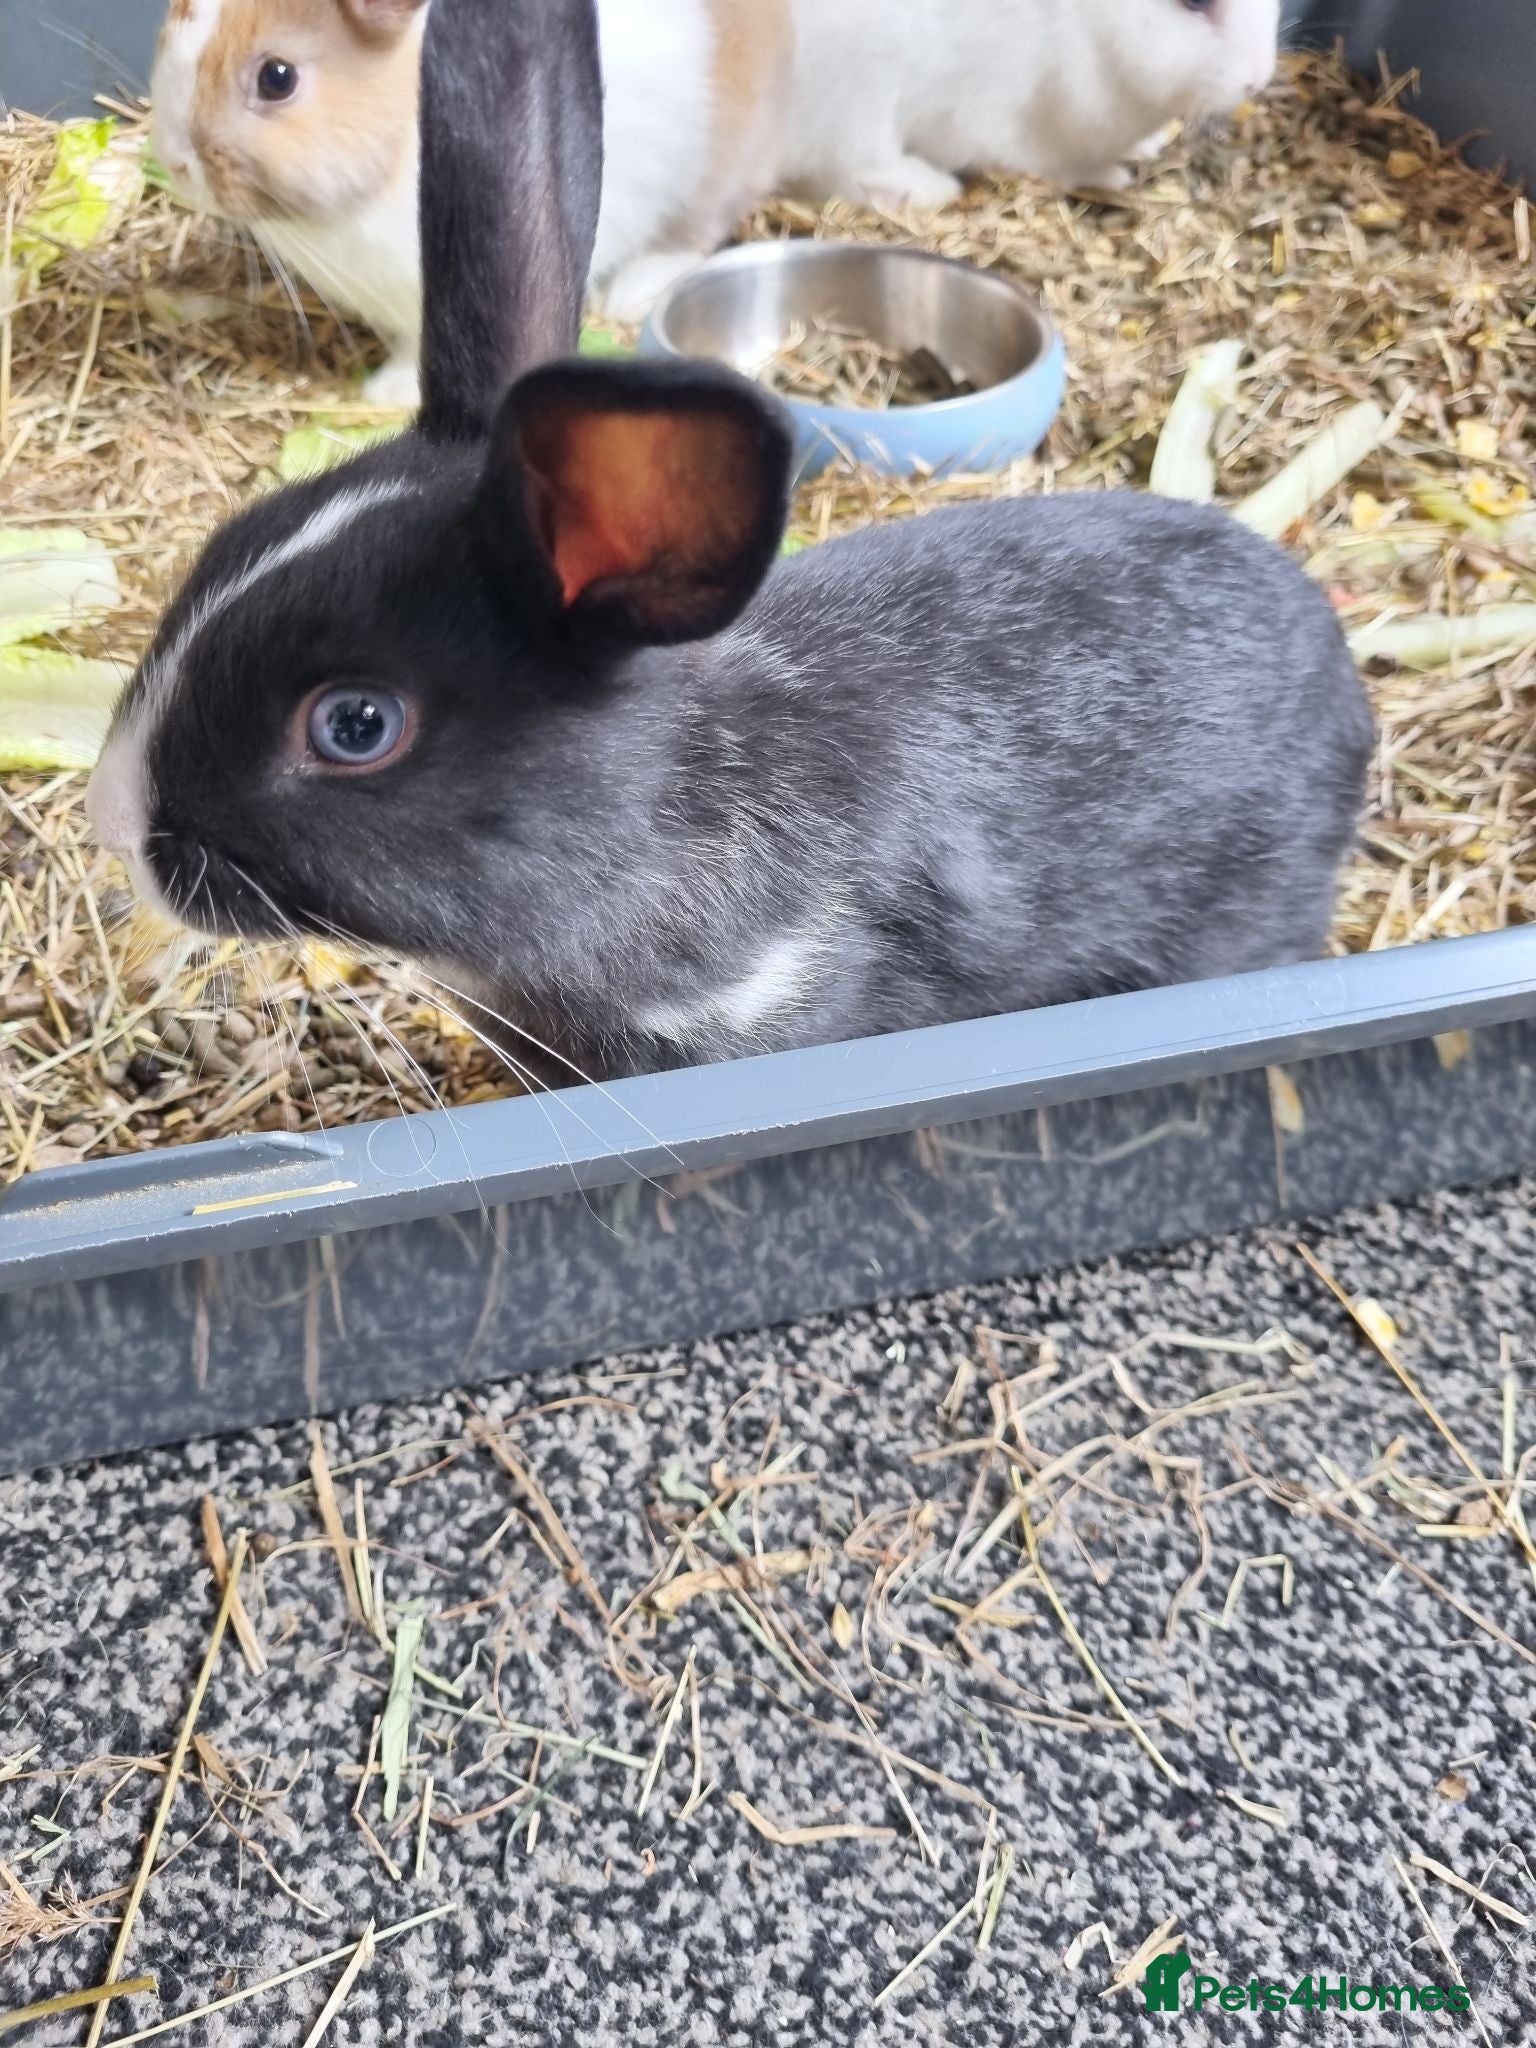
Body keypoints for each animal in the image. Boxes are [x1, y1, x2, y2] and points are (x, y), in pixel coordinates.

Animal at [782, 0, 1281, 207]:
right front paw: (1112, 178)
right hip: (855, 100)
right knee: (845, 172)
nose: (1259, 79)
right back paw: (931, 189)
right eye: (1196, 0)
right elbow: (1051, 163)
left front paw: (1149, 145)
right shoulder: (1003, 119)